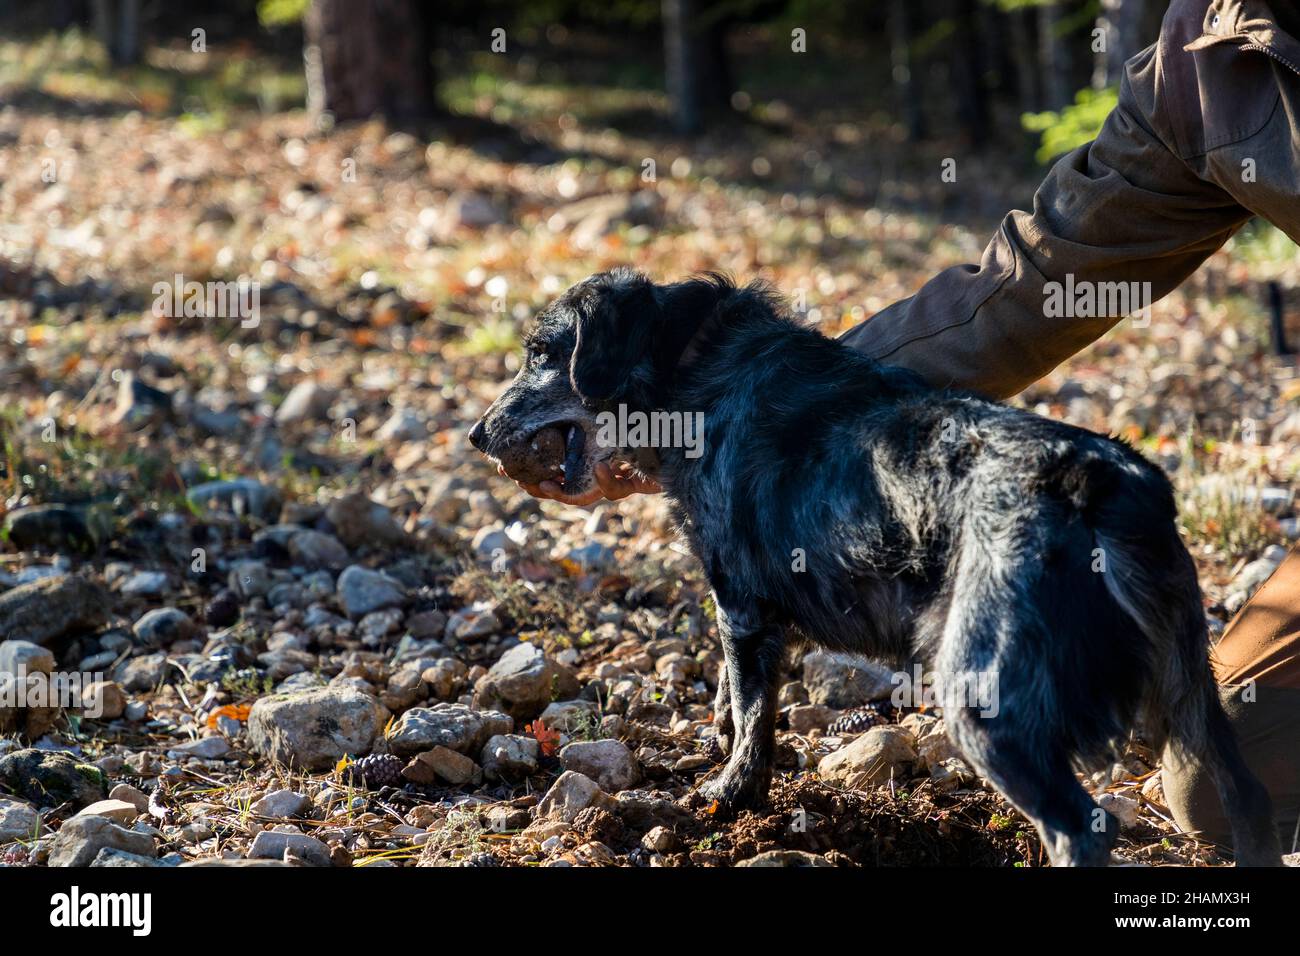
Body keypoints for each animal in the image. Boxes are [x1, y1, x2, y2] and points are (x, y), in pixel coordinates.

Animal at [467, 269, 1279, 868]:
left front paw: (730, 794)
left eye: (541, 352)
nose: (475, 434)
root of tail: (1105, 484)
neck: (696, 365)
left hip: (988, 703)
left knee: (1079, 830)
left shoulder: (742, 606)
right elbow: (735, 700)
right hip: (1196, 695)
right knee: (1248, 805)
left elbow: (752, 714)